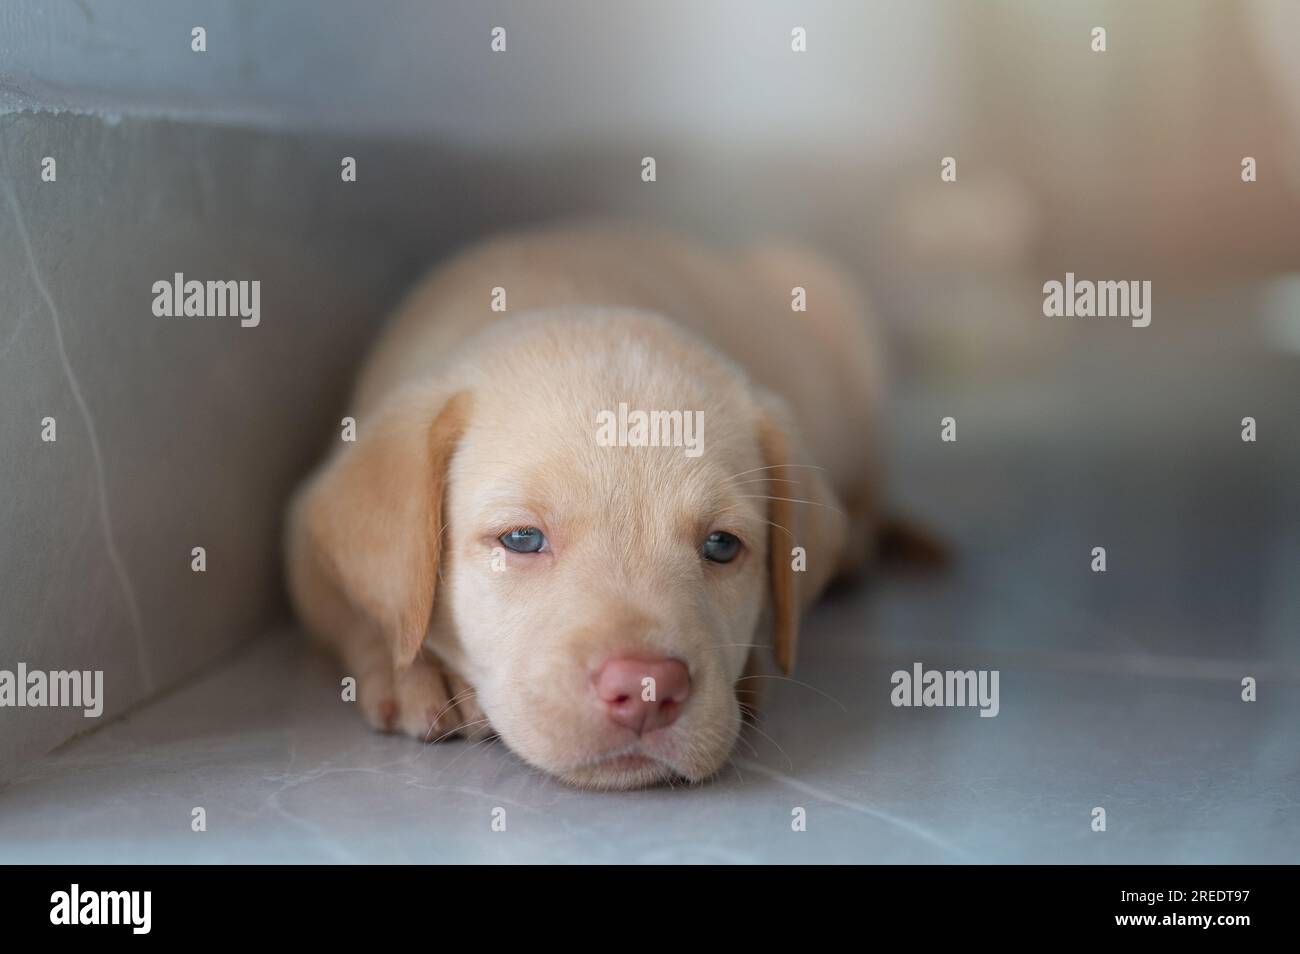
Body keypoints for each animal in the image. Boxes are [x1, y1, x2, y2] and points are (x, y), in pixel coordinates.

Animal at [286, 223, 889, 790]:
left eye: (722, 545)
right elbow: (359, 605)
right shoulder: (304, 534)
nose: (648, 691)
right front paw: (411, 669)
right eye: (522, 539)